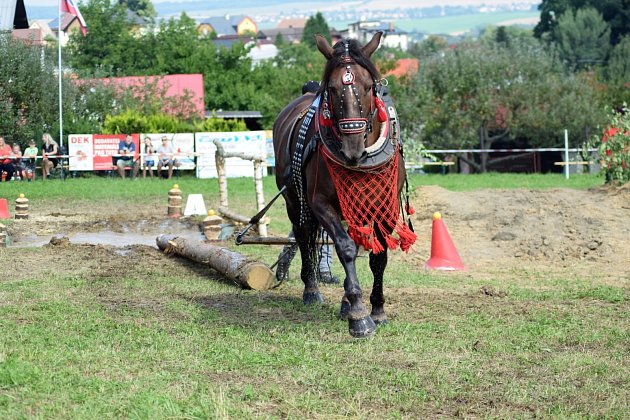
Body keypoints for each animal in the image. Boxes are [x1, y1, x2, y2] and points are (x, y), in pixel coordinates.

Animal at [272, 31, 418, 336]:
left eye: (369, 86)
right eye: (332, 88)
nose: (352, 148)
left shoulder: (383, 207)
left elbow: (378, 255)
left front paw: (377, 309)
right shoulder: (319, 203)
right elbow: (346, 248)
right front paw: (359, 313)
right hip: (294, 199)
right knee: (303, 235)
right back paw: (311, 289)